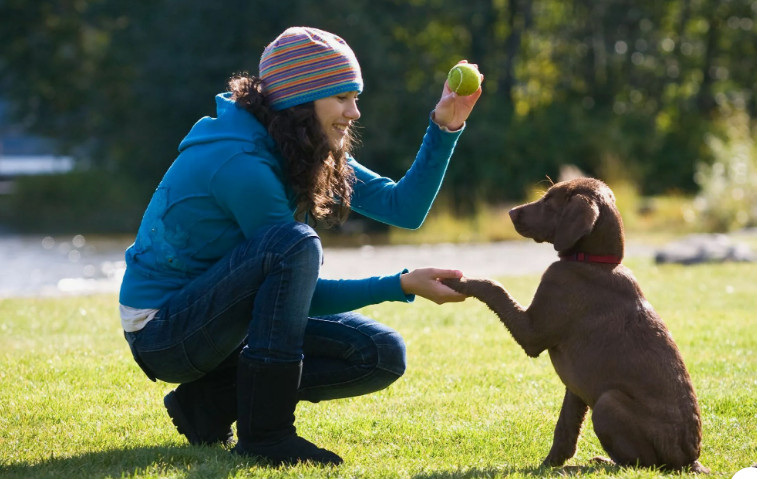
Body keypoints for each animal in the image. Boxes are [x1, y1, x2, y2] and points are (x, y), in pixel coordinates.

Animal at [442, 178, 708, 474]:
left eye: (548, 200)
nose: (510, 212)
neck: (594, 262)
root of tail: (689, 460)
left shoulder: (532, 333)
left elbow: (493, 287)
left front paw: (457, 280)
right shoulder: (576, 387)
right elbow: (566, 428)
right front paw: (549, 464)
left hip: (607, 403)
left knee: (641, 464)